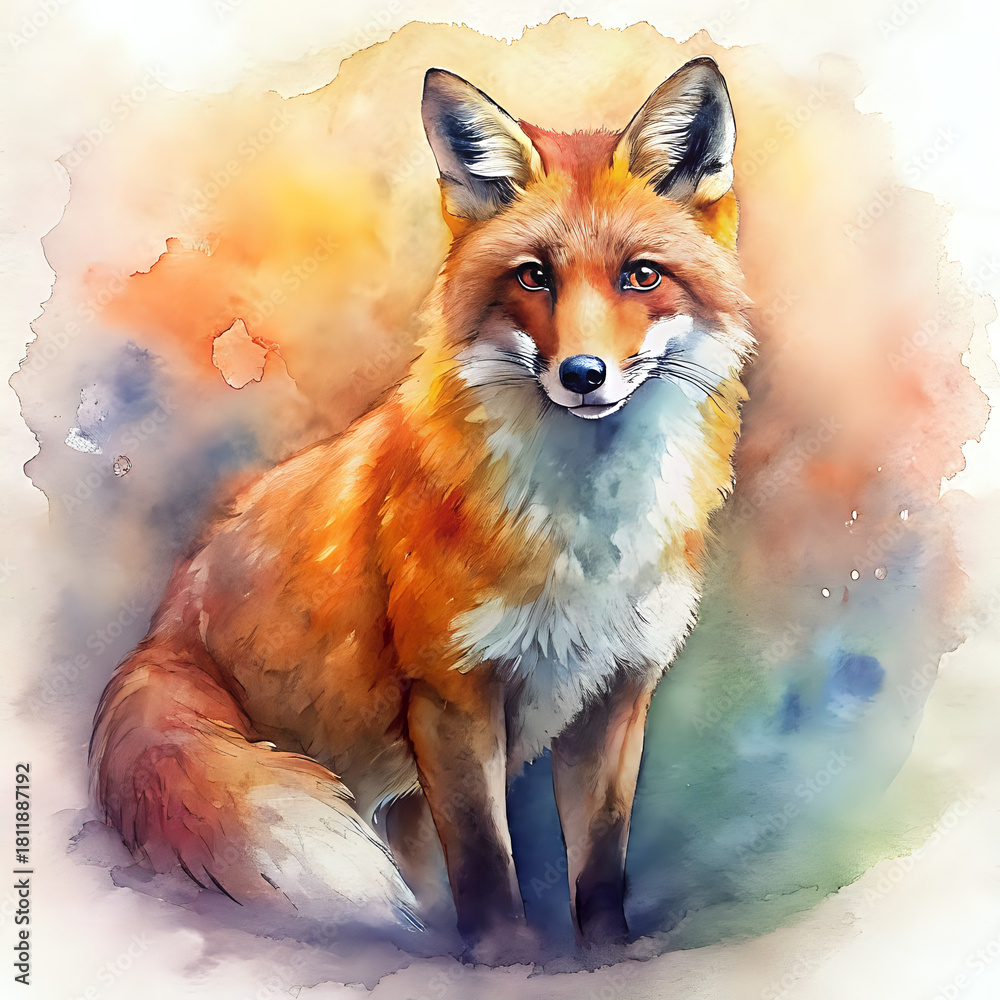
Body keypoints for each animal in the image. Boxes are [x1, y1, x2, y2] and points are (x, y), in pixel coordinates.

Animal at [90, 56, 753, 960]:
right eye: (533, 276)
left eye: (641, 275)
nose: (583, 375)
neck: (583, 542)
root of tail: (157, 637)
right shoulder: (450, 696)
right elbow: (485, 865)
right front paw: (507, 964)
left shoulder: (616, 693)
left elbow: (599, 868)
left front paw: (607, 958)